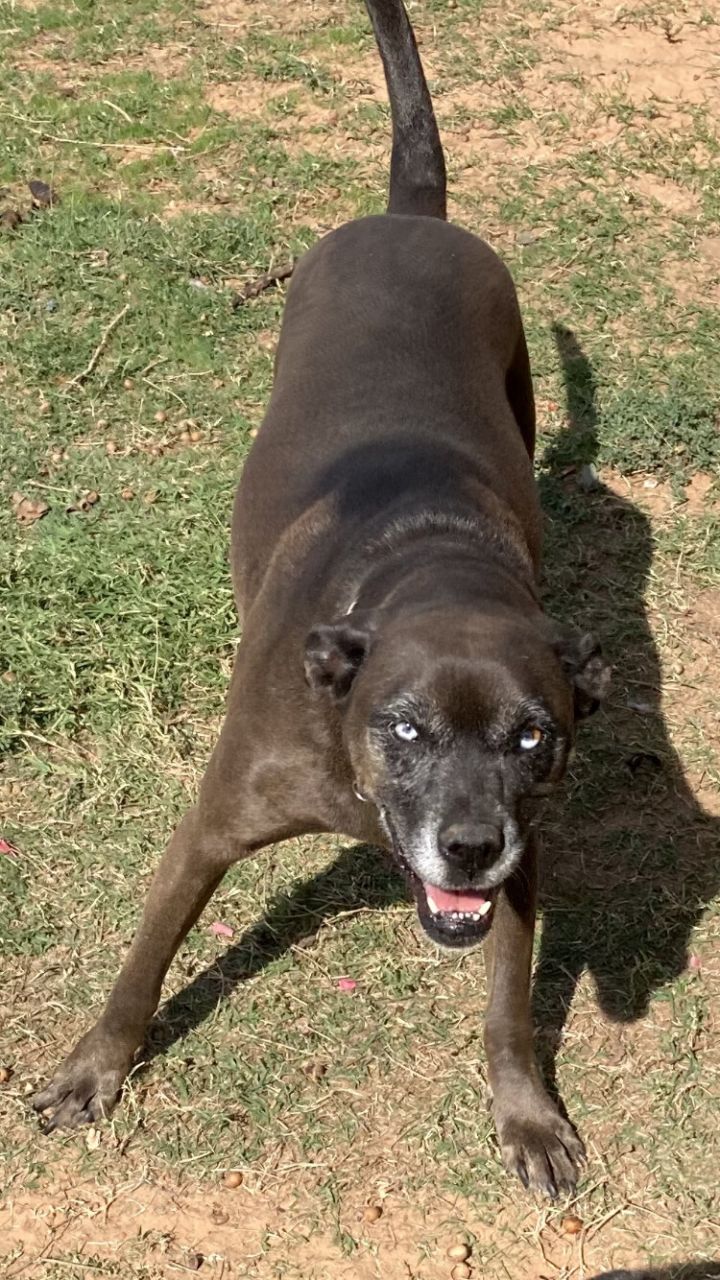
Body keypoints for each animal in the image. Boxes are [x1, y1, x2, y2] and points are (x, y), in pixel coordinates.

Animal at [32, 0, 604, 1198]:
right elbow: (144, 960)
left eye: (535, 738)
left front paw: (527, 1114)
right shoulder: (209, 829)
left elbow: (509, 1001)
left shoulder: (526, 859)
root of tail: (408, 218)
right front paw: (96, 1067)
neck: (433, 564)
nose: (468, 846)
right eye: (404, 727)